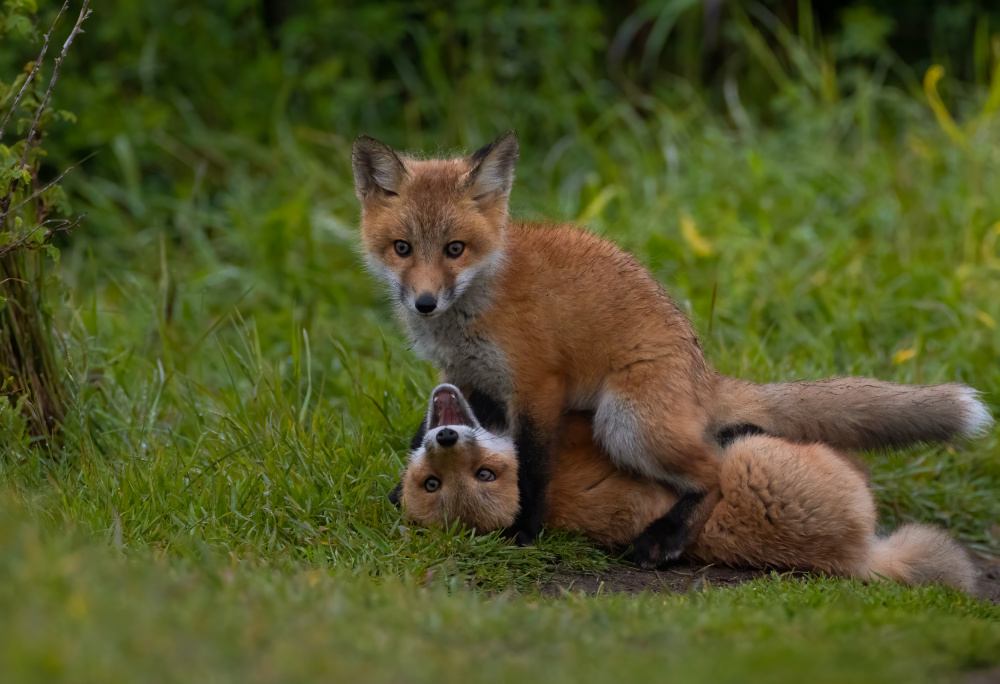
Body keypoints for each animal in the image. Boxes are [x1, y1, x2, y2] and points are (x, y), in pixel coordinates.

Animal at [352, 132, 992, 568]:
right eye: (402, 247)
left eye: (455, 248)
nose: (425, 303)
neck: (475, 307)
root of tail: (702, 374)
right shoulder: (469, 377)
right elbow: (433, 426)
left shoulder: (537, 386)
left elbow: (532, 469)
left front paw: (523, 532)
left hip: (624, 422)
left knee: (715, 468)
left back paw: (669, 537)